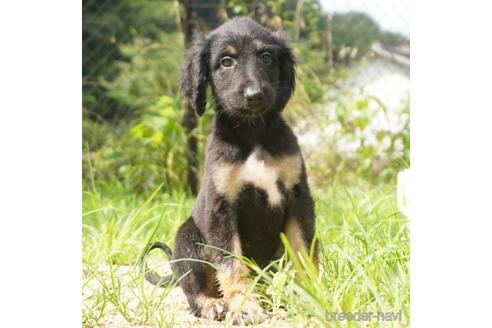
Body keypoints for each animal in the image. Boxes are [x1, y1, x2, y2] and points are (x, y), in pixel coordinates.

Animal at [144, 16, 318, 324]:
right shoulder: (221, 208)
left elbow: (303, 251)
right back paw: (212, 304)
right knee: (192, 289)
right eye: (226, 62)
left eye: (266, 57)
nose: (254, 95)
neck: (253, 134)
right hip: (188, 239)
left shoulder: (299, 197)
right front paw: (244, 306)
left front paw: (312, 294)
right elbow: (231, 263)